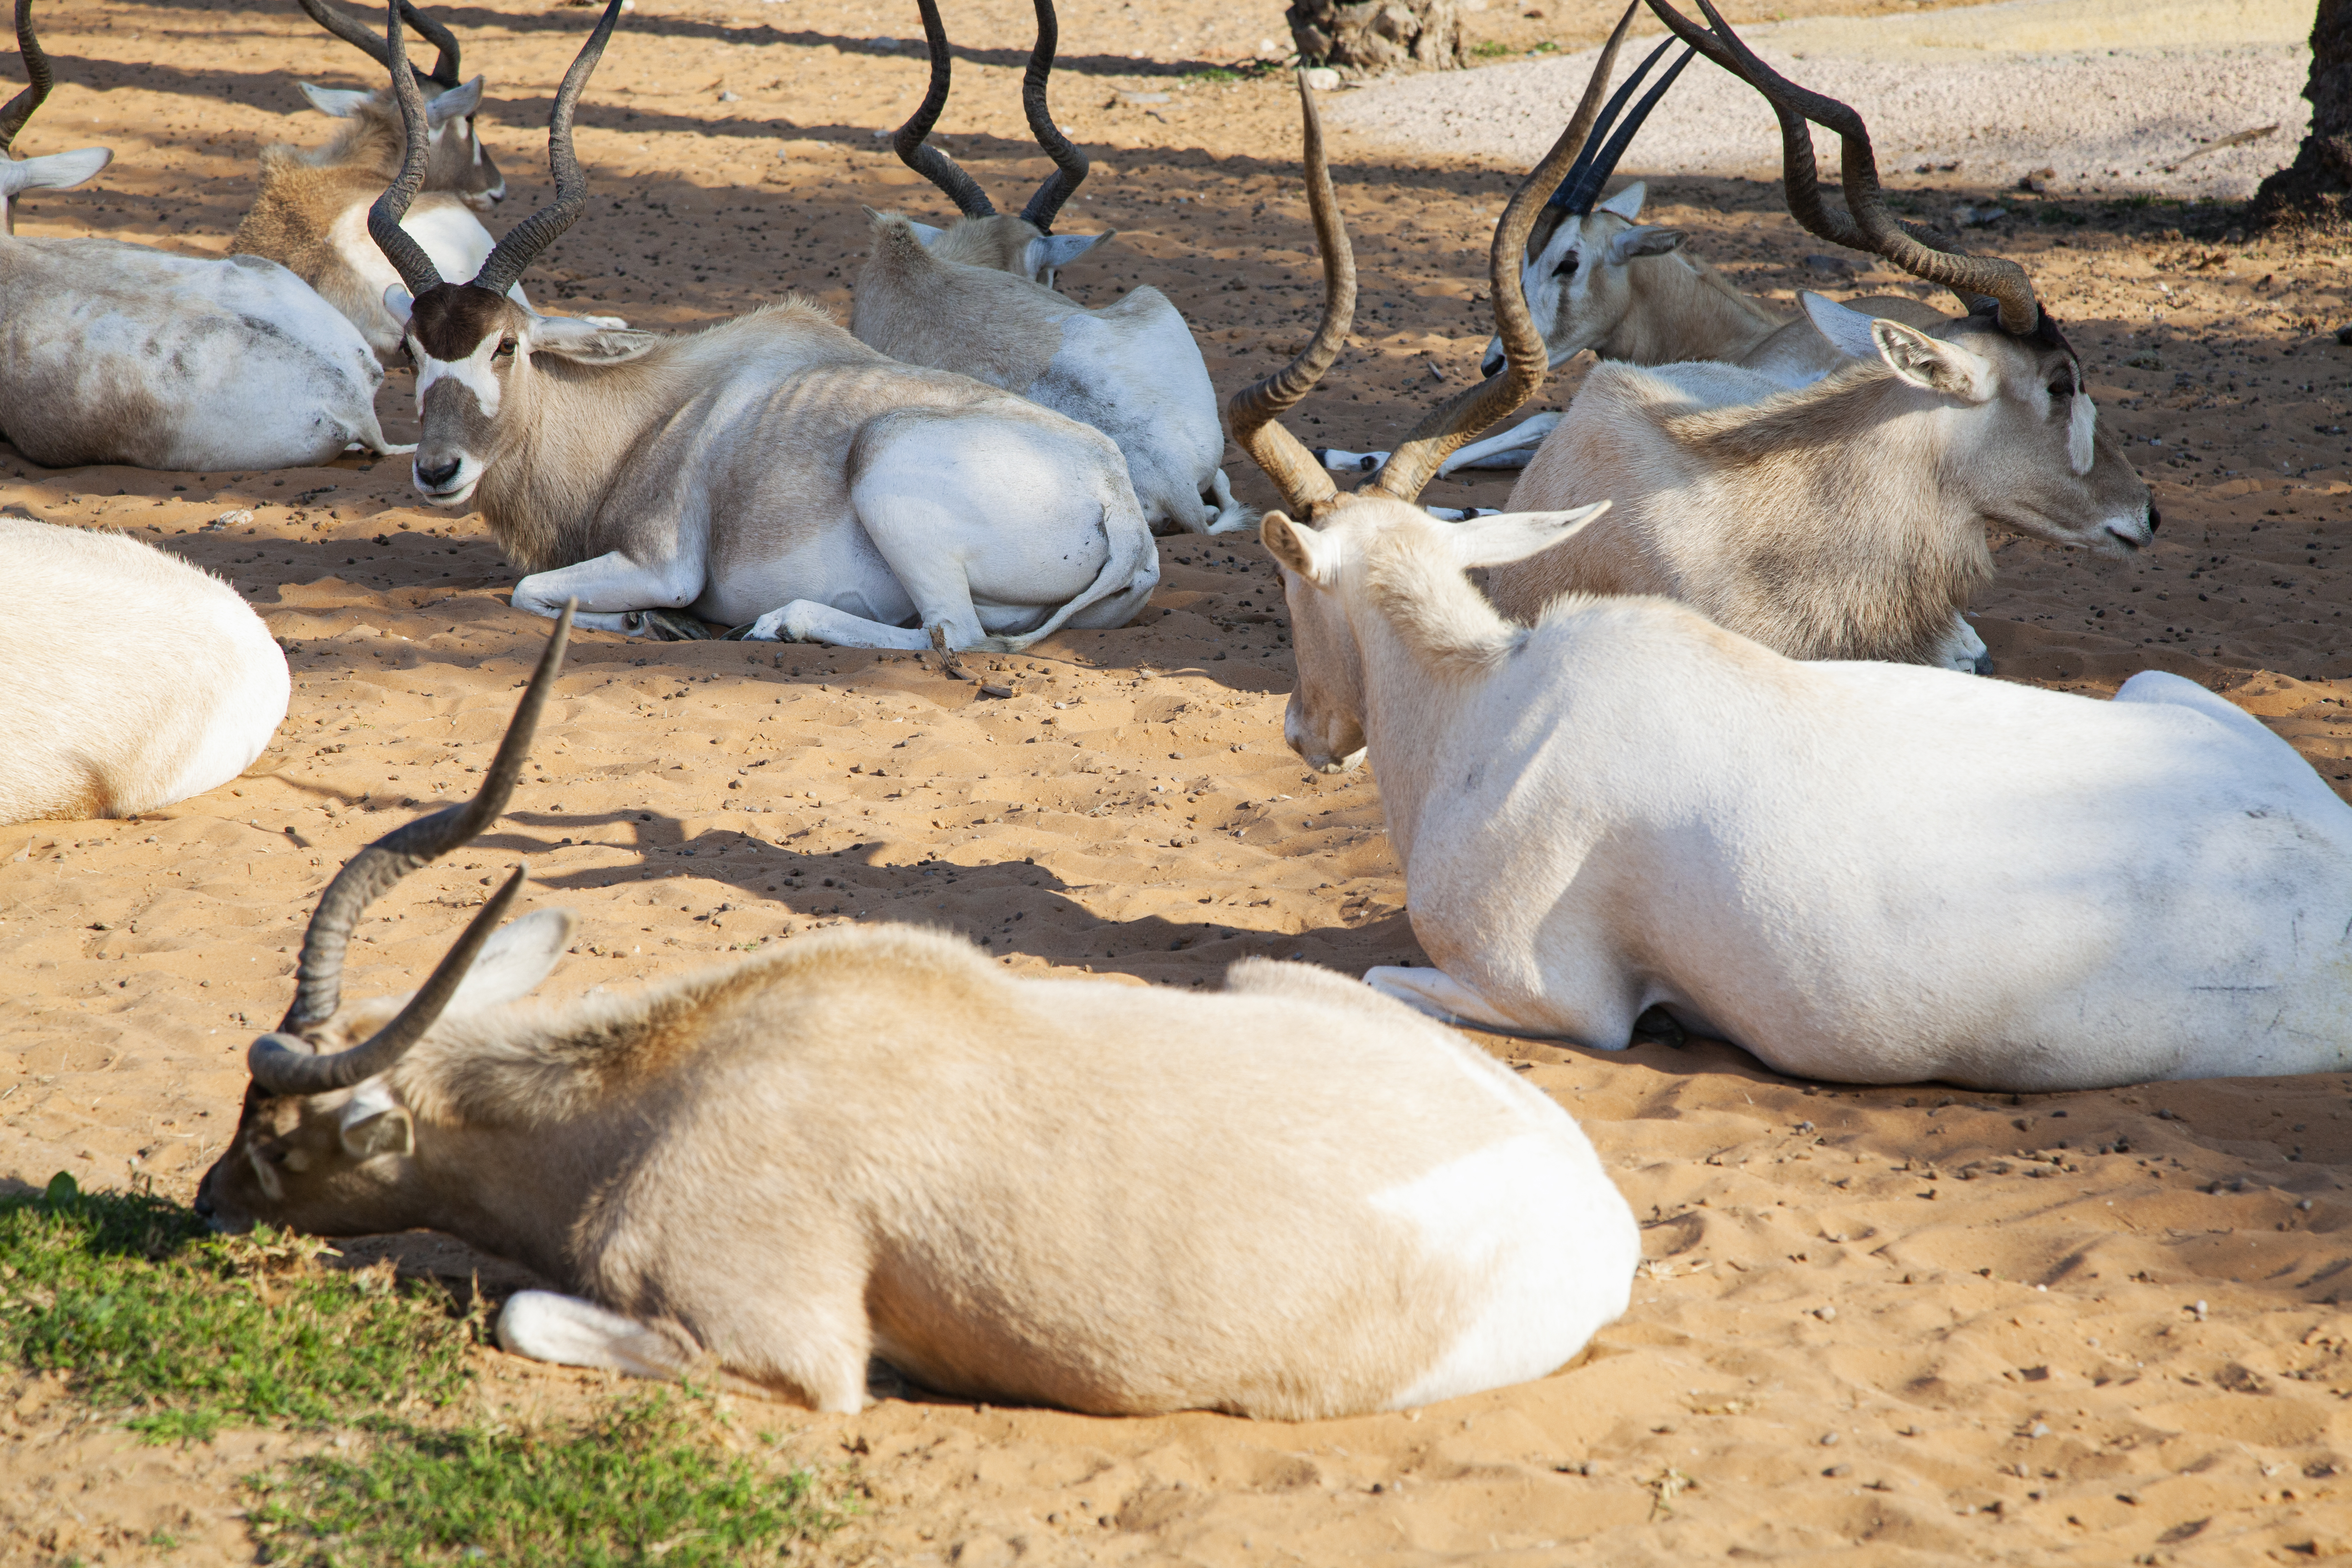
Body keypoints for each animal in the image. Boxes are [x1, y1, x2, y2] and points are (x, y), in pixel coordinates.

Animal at [194, 611, 1640, 1417]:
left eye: (276, 1136)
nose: (205, 1203)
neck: (659, 1091)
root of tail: (1598, 1213)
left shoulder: (777, 1344)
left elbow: (524, 1316)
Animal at [370, 0, 1155, 650]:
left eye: (504, 345)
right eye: (412, 351)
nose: (437, 470)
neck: (638, 416)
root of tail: (1115, 498)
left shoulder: (662, 565)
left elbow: (529, 590)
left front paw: (650, 620)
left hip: (885, 462)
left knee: (953, 633)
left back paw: (783, 622)